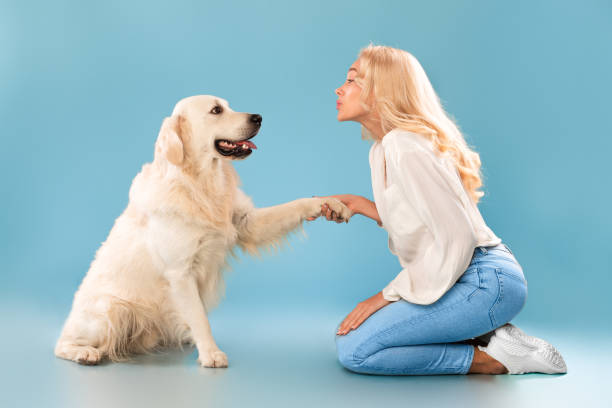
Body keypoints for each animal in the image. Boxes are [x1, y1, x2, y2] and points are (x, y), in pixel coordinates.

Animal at [56, 95, 354, 366]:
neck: (201, 182)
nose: (258, 117)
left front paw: (331, 204)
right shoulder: (180, 273)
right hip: (111, 309)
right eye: (216, 110)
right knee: (63, 344)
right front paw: (211, 353)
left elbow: (295, 205)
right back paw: (85, 353)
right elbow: (200, 317)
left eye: (229, 105)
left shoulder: (247, 222)